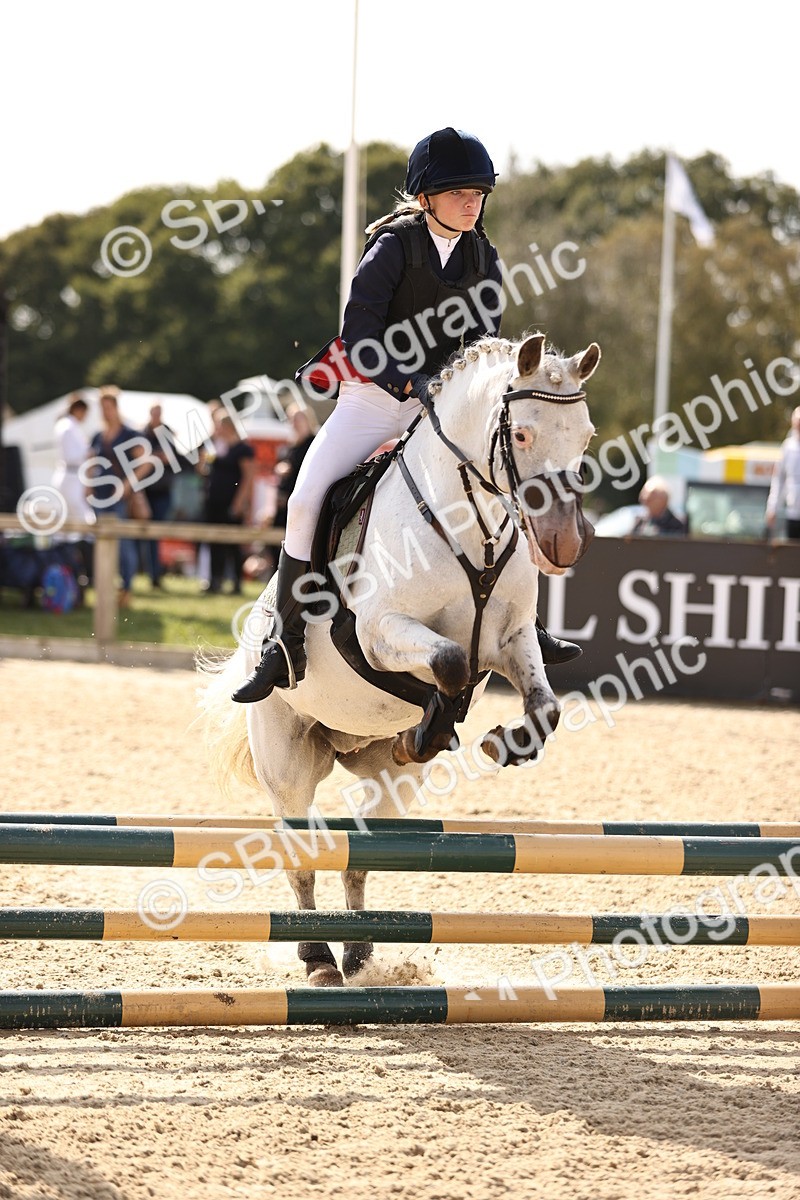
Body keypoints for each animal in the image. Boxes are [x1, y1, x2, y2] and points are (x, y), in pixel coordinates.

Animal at [199, 331, 600, 986]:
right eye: (520, 435)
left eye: (585, 435)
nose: (564, 544)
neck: (469, 524)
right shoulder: (381, 633)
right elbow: (450, 663)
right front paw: (435, 724)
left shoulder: (513, 640)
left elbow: (544, 707)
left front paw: (500, 743)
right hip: (288, 764)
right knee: (303, 856)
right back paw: (318, 958)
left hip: (390, 784)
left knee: (359, 853)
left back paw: (360, 952)